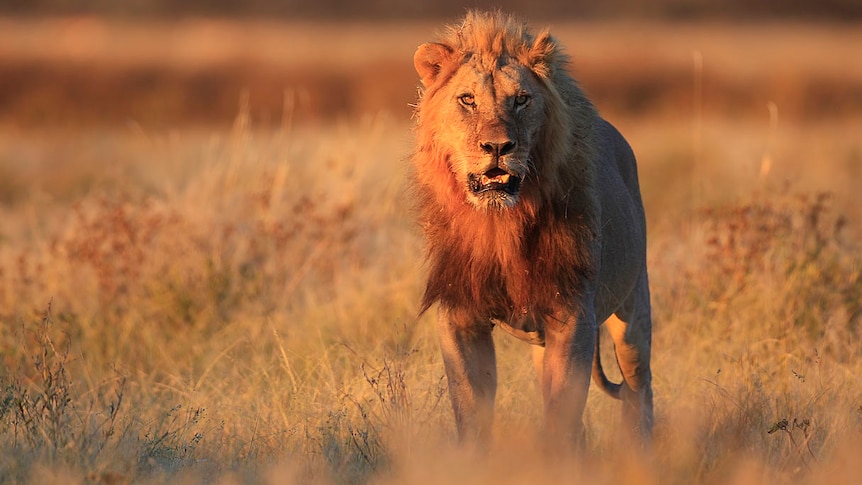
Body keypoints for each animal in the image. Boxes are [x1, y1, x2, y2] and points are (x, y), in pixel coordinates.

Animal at [412, 9, 656, 446]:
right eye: (467, 99)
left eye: (521, 99)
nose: (497, 147)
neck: (500, 224)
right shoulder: (460, 315)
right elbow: (471, 409)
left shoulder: (572, 316)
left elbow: (562, 414)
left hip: (632, 312)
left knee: (639, 390)